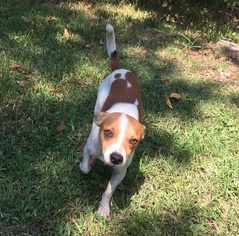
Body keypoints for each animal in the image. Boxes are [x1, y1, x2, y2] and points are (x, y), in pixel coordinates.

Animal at [80, 24, 146, 218]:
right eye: (108, 132)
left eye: (134, 140)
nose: (116, 158)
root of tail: (120, 70)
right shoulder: (88, 147)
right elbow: (85, 167)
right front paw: (86, 165)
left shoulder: (121, 171)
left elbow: (109, 190)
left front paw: (103, 207)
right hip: (97, 105)